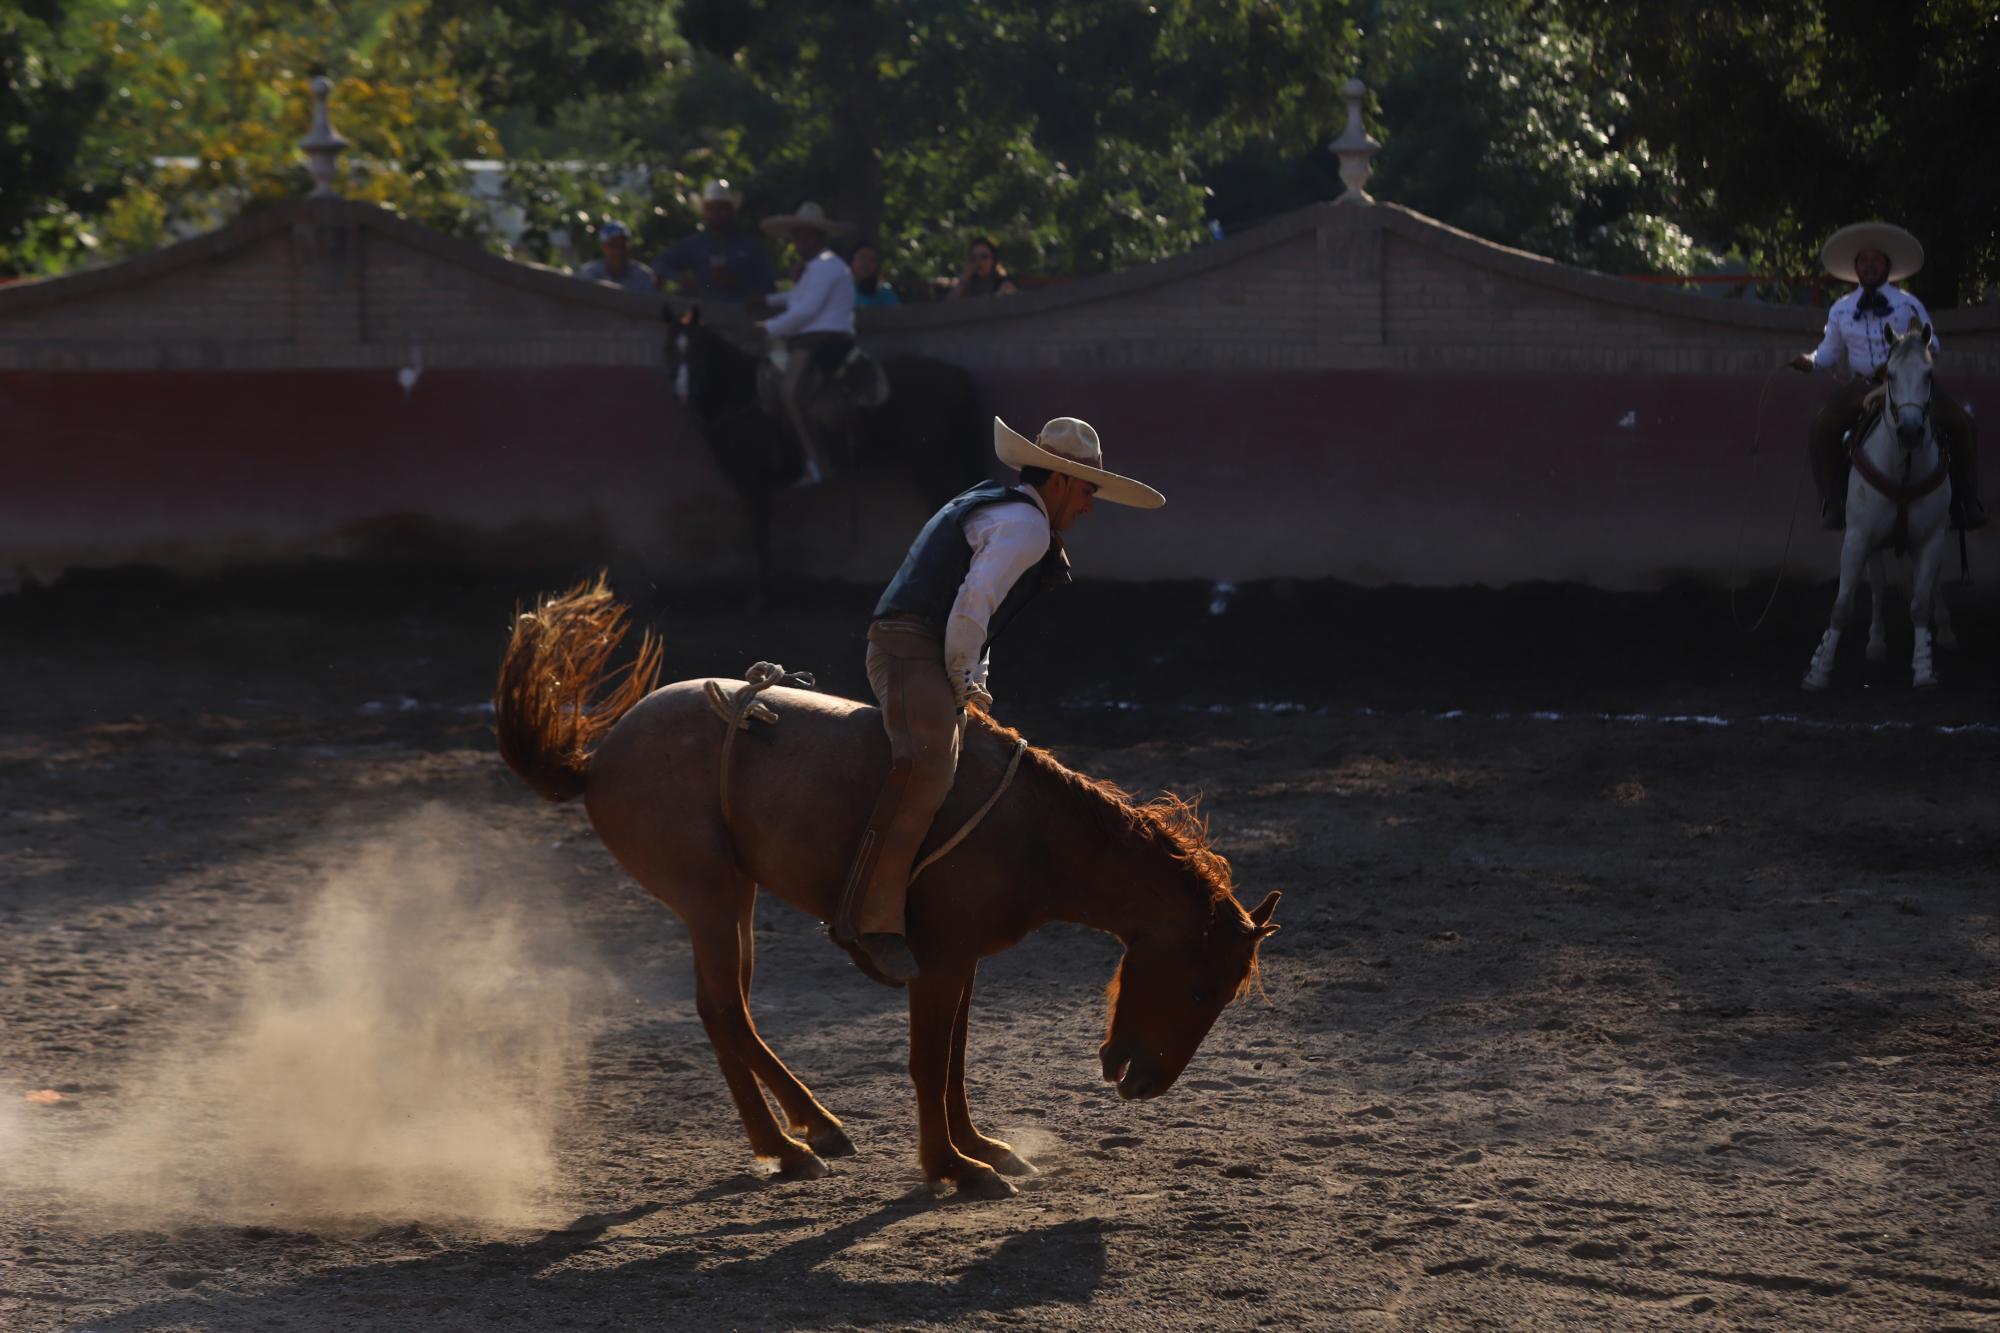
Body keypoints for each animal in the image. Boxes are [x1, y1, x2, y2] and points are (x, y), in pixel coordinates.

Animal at [498, 576, 1280, 1200]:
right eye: (1203, 989)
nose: (1144, 1083)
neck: (1034, 832)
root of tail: (596, 760)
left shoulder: (960, 960)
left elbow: (954, 1058)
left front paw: (984, 1148)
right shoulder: (939, 960)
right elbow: (929, 1061)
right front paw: (955, 1167)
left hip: (735, 900)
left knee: (733, 1014)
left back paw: (814, 1128)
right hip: (709, 898)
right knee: (722, 1009)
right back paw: (789, 1147)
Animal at [668, 312, 988, 592]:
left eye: (698, 351)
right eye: (669, 349)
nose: (682, 391)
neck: (743, 397)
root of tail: (957, 375)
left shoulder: (753, 484)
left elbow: (760, 538)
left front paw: (759, 597)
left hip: (932, 463)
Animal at [1800, 322, 1952, 688]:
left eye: (1929, 375)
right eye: (1891, 375)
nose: (1910, 431)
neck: (1904, 471)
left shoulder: (1932, 538)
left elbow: (1920, 604)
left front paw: (1924, 668)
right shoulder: (1858, 536)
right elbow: (1842, 606)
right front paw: (1819, 670)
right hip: (1871, 541)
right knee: (1879, 586)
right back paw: (1876, 643)